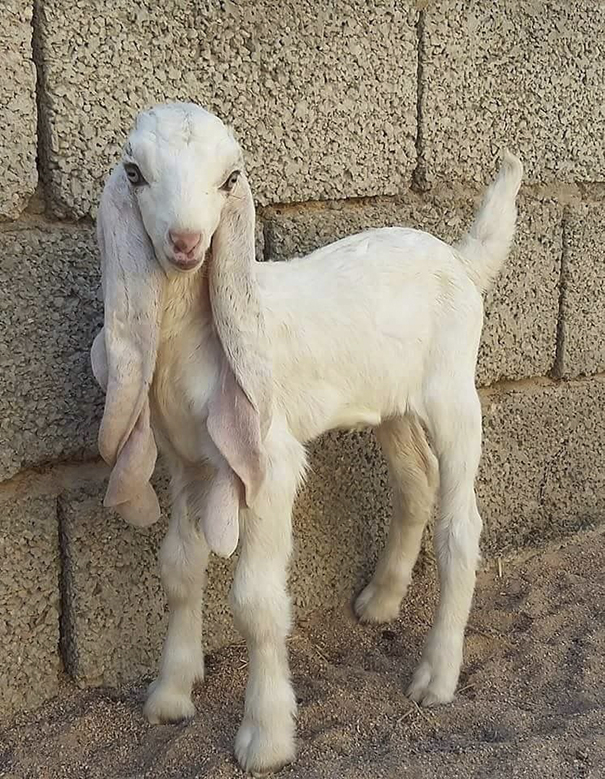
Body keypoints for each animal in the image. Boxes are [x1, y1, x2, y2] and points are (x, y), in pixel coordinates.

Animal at [90, 101, 523, 775]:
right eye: (134, 172)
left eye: (230, 179)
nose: (186, 244)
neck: (194, 334)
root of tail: (459, 259)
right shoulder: (189, 463)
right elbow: (180, 569)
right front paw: (169, 696)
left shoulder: (267, 462)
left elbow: (256, 602)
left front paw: (265, 737)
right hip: (391, 403)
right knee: (416, 482)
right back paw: (380, 602)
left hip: (454, 391)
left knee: (461, 525)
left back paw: (436, 677)